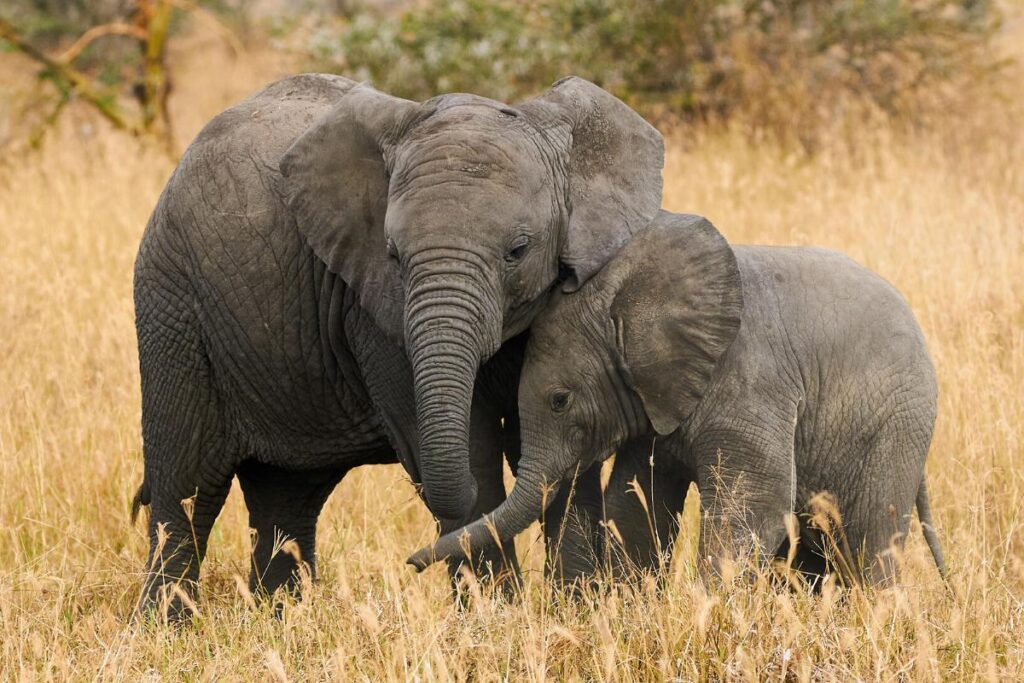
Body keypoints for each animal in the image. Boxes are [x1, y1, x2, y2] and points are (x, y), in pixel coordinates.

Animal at [131, 72, 664, 615]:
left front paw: (578, 611)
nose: (411, 563)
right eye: (393, 255)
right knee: (187, 488)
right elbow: (473, 449)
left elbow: (566, 448)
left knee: (286, 497)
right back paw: (168, 626)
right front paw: (497, 617)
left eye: (518, 250)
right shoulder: (373, 311)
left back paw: (280, 618)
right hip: (172, 307)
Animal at [409, 211, 946, 588]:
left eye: (560, 400)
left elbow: (755, 507)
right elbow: (635, 502)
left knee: (870, 540)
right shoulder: (654, 400)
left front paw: (707, 611)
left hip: (897, 425)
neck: (629, 297)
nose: (411, 563)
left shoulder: (750, 381)